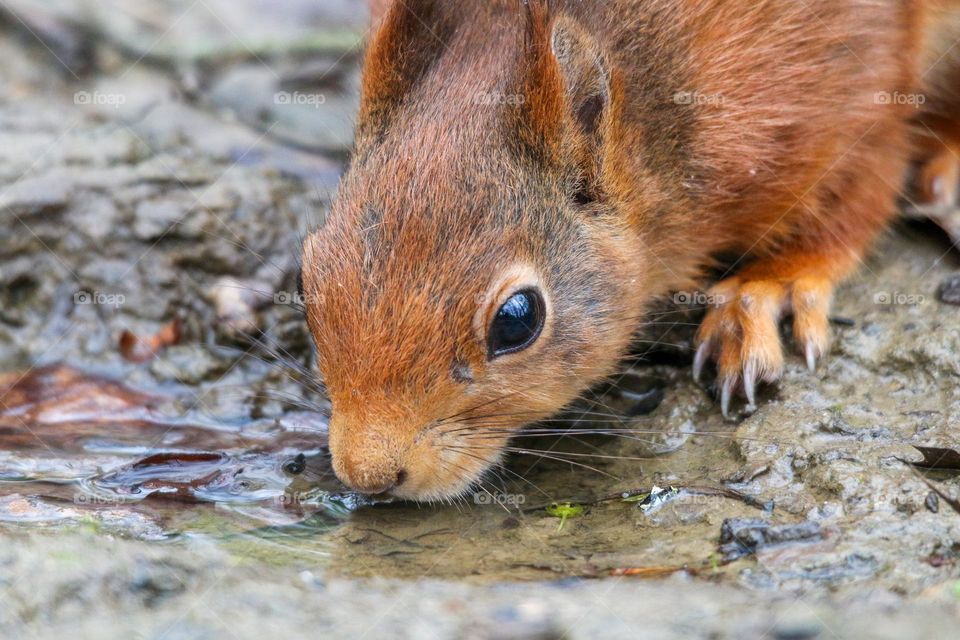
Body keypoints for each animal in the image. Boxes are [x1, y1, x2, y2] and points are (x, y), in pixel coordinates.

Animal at [300, 0, 960, 500]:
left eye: (518, 321)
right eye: (308, 282)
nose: (369, 475)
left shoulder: (844, 81)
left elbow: (858, 191)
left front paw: (768, 290)